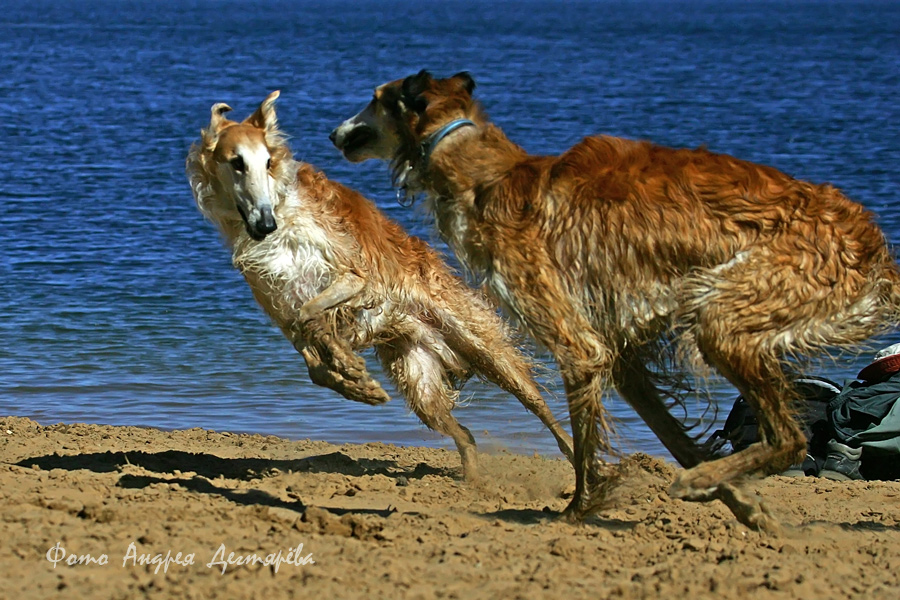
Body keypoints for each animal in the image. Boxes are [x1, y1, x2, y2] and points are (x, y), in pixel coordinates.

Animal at [186, 91, 572, 480]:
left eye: (267, 161)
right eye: (236, 163)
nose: (265, 223)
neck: (282, 216)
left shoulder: (353, 276)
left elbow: (312, 314)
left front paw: (348, 365)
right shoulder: (282, 311)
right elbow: (313, 359)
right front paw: (356, 382)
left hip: (485, 349)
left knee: (543, 410)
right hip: (420, 384)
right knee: (466, 435)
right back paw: (473, 482)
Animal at [332, 71, 900, 528]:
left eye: (375, 98)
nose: (334, 133)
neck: (486, 176)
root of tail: (872, 245)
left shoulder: (579, 346)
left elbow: (587, 450)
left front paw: (578, 510)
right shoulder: (621, 355)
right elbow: (676, 441)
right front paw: (742, 502)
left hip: (723, 317)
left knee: (791, 439)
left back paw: (697, 482)